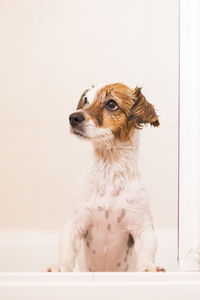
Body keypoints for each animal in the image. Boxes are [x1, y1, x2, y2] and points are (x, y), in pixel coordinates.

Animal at [46, 82, 165, 272]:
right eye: (86, 101)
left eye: (111, 104)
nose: (73, 117)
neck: (110, 173)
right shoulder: (75, 224)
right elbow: (66, 249)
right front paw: (60, 266)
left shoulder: (143, 227)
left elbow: (147, 250)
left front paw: (149, 267)